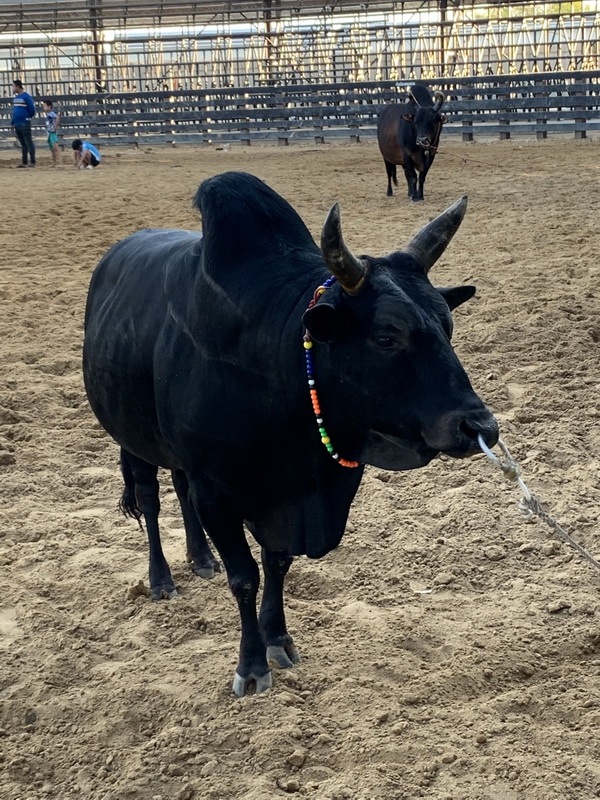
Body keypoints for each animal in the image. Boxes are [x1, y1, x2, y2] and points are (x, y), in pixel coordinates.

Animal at [83, 170, 496, 692]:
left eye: (448, 325)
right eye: (386, 336)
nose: (479, 425)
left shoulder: (291, 496)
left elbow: (277, 563)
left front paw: (277, 638)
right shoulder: (217, 491)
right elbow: (244, 577)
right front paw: (251, 664)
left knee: (178, 489)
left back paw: (201, 558)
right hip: (131, 438)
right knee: (150, 500)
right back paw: (161, 579)